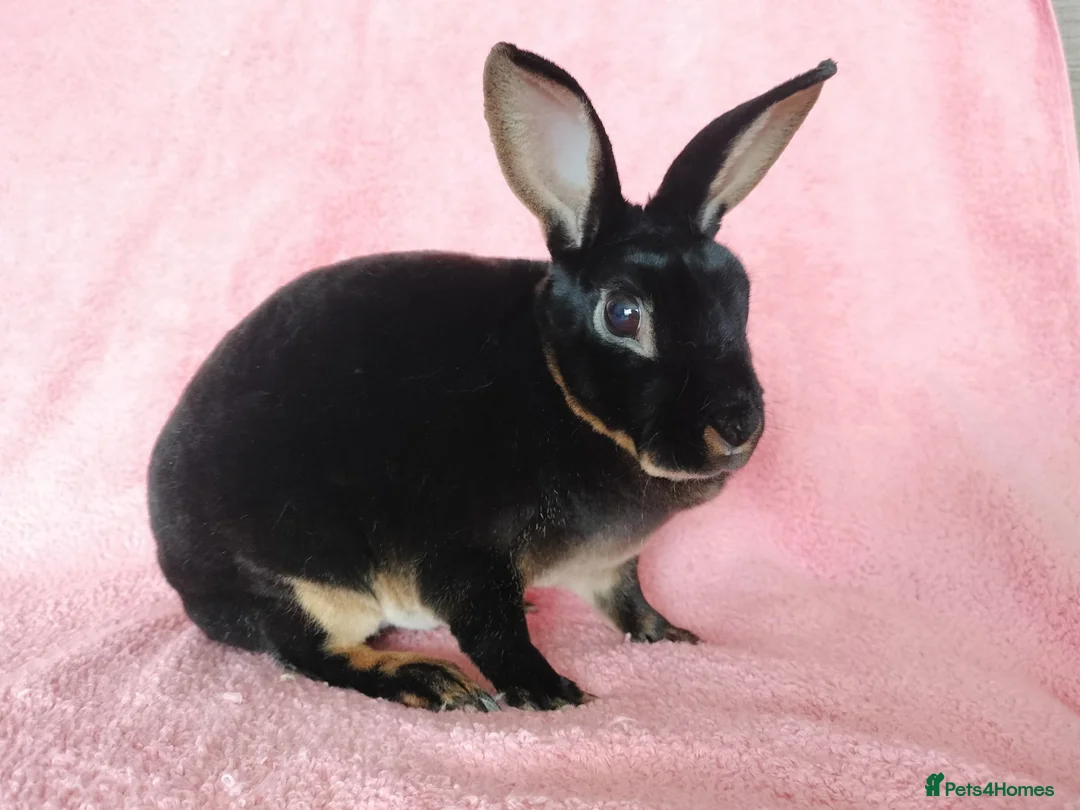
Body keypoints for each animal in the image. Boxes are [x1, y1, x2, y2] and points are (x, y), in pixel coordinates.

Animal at [147, 42, 836, 712]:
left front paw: (668, 634)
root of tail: (184, 580)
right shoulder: (465, 553)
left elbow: (626, 598)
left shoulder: (609, 565)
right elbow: (493, 631)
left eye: (740, 293)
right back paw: (429, 680)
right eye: (622, 314)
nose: (738, 426)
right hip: (307, 583)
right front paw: (550, 693)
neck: (562, 393)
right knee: (307, 651)